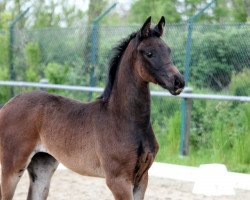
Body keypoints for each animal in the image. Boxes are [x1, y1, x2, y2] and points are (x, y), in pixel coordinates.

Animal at [0, 17, 184, 200]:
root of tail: (7, 105)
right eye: (149, 53)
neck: (122, 118)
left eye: (168, 51)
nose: (178, 81)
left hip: (43, 165)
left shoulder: (142, 179)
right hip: (13, 166)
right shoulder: (118, 180)